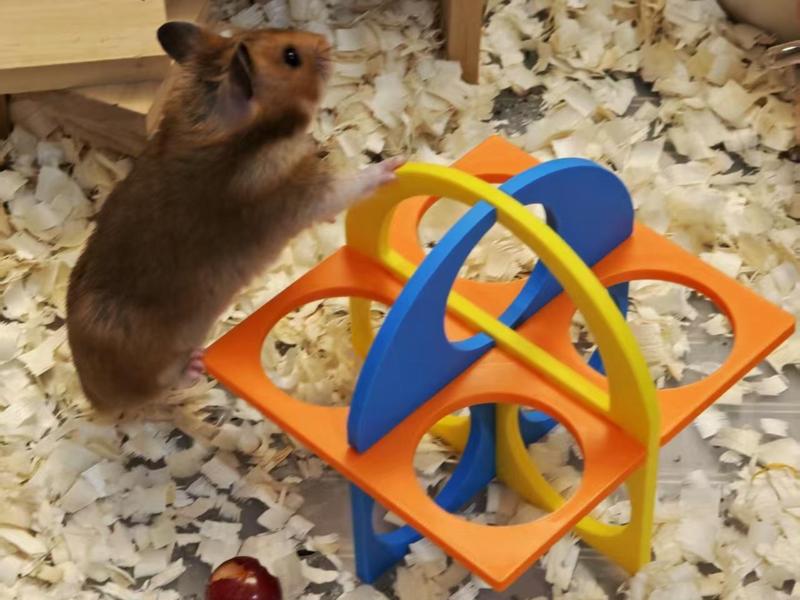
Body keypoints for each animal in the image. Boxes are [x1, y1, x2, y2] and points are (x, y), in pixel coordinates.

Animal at [66, 21, 403, 411]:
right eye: (291, 57)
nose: (326, 43)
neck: (225, 128)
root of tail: (93, 398)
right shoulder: (308, 192)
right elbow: (352, 184)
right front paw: (395, 165)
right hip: (158, 366)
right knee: (162, 386)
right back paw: (195, 365)